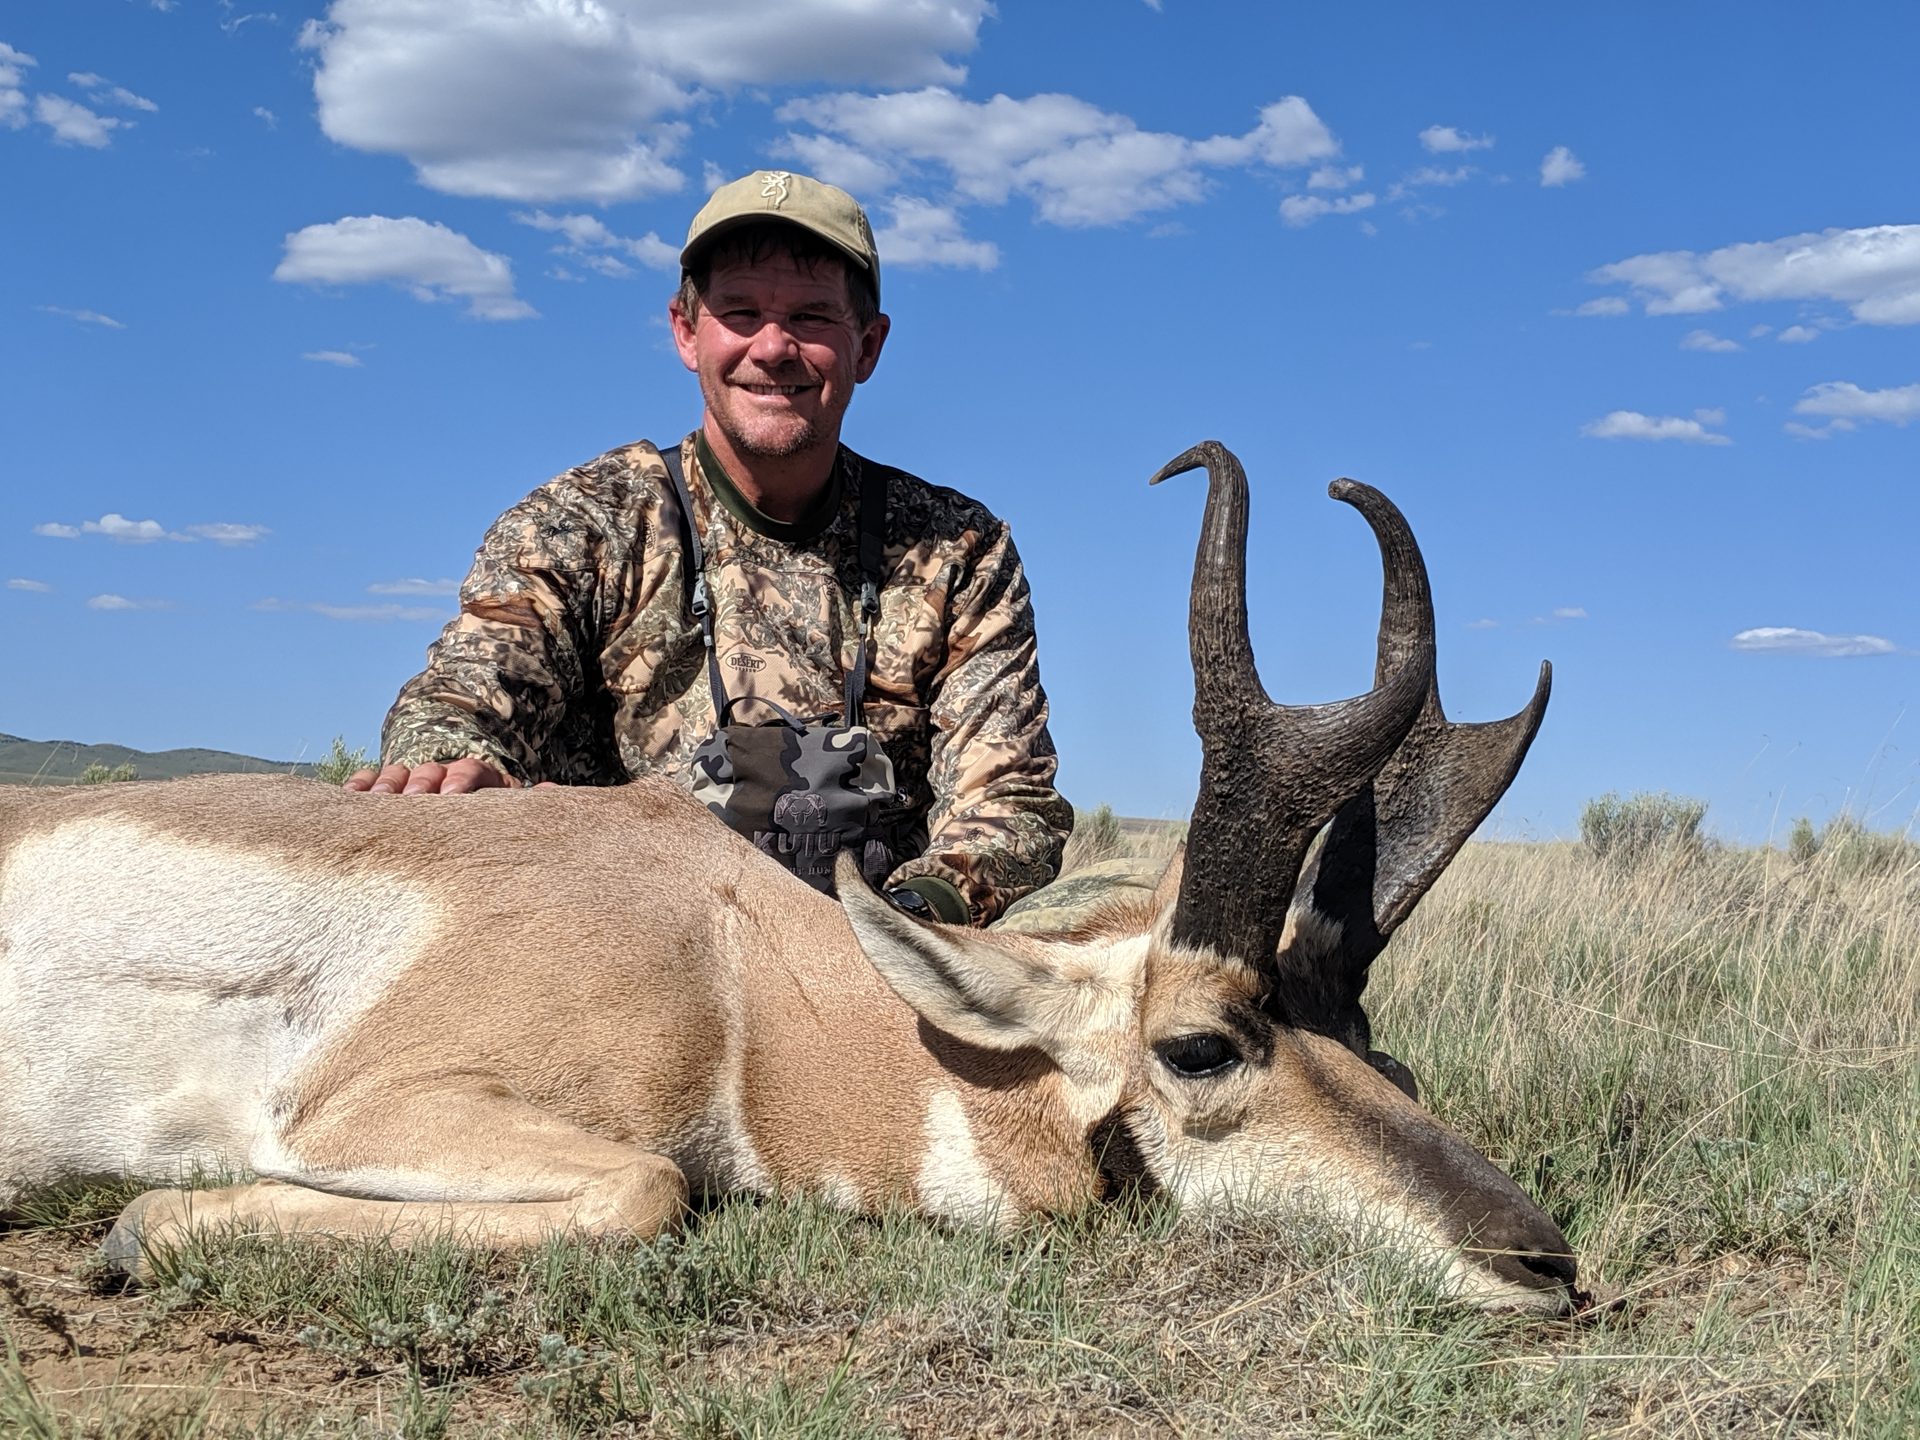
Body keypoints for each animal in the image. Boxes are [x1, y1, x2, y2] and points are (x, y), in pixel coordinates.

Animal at [0, 442, 1574, 1311]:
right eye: (1201, 1046)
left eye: (1380, 1048)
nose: (1547, 1263)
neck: (736, 968)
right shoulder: (366, 1105)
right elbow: (651, 1192)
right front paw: (142, 1229)